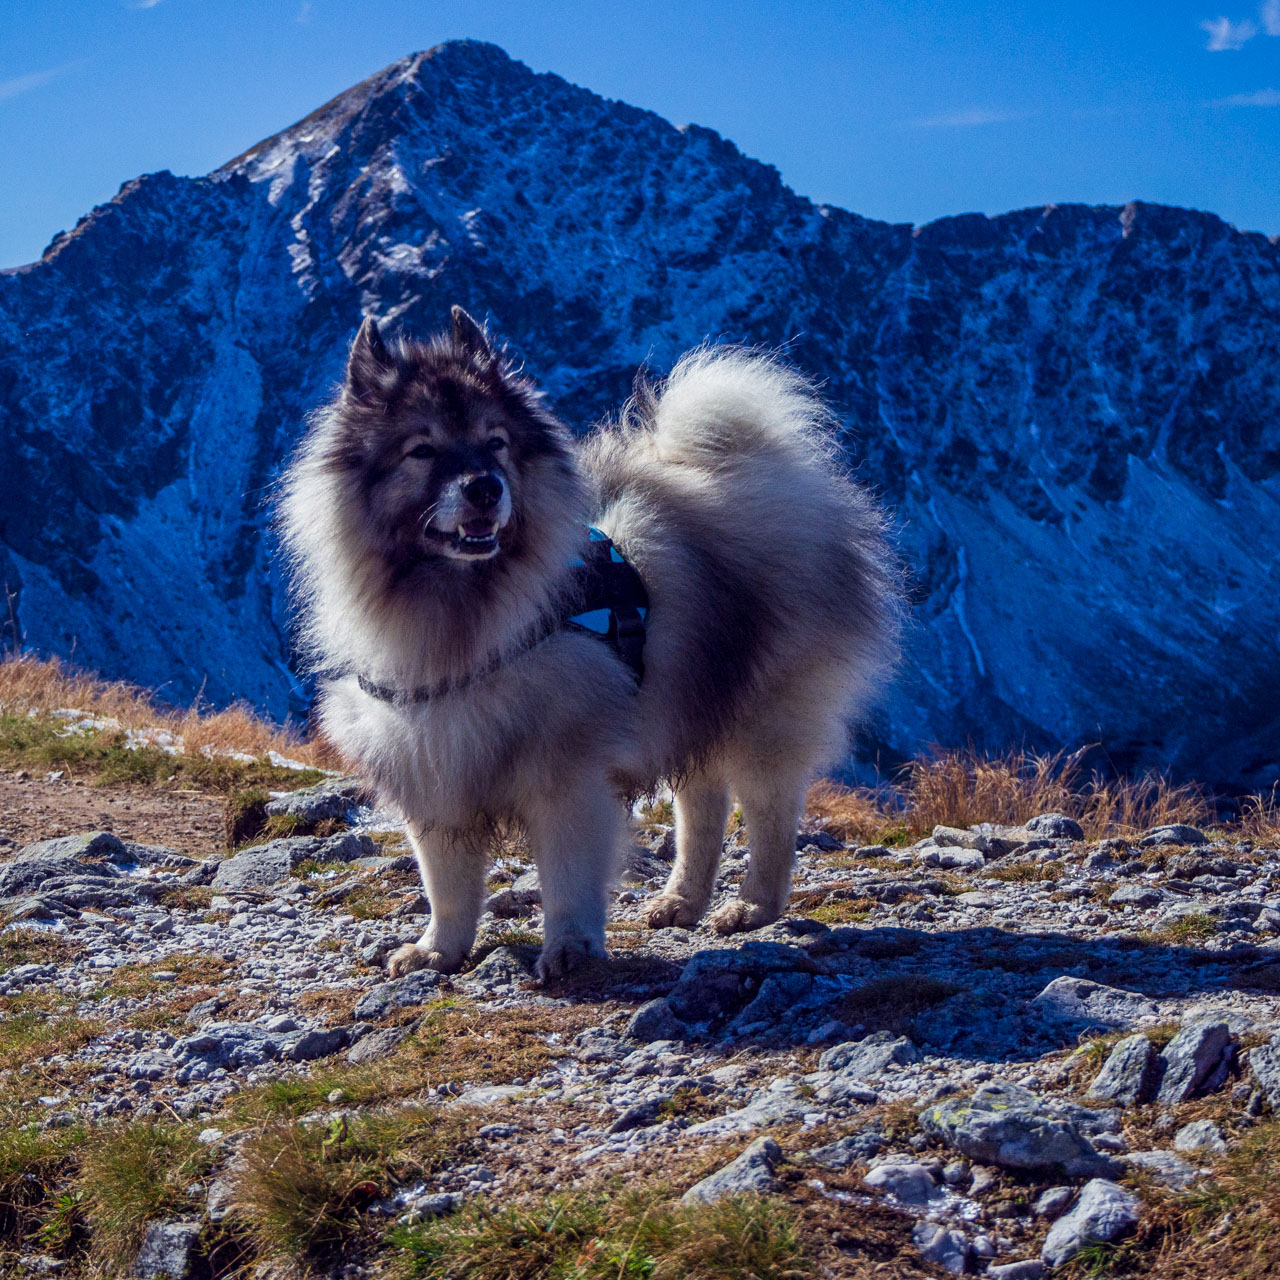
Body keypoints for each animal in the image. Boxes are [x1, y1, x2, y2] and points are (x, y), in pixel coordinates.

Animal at [280, 312, 901, 977]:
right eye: (421, 450)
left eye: (496, 442)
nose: (485, 488)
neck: (467, 616)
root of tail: (762, 468)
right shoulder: (434, 770)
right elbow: (446, 883)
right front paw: (437, 950)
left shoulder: (566, 776)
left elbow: (568, 873)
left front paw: (571, 949)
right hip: (687, 698)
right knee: (702, 804)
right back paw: (682, 900)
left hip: (760, 714)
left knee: (769, 814)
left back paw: (753, 906)